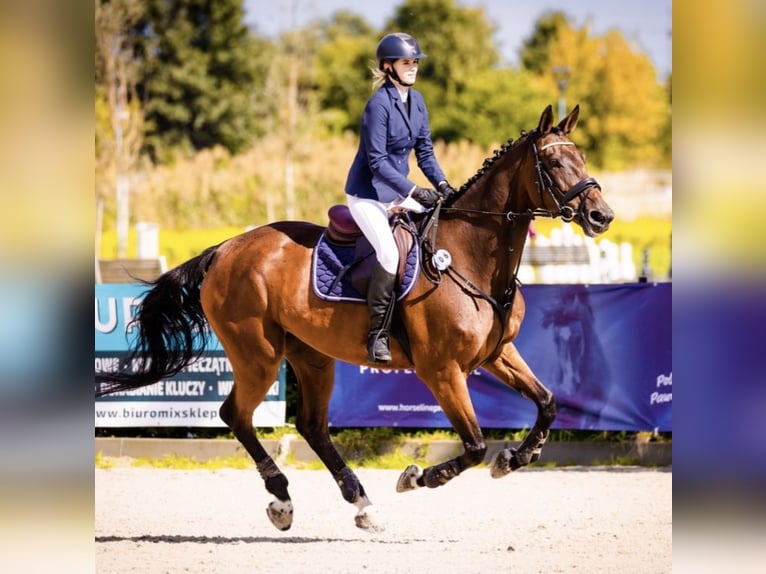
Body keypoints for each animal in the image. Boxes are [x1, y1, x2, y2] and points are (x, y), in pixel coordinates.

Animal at [96, 106, 616, 532]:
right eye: (553, 164)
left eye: (583, 157)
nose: (601, 215)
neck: (474, 258)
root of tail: (225, 249)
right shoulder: (442, 371)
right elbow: (472, 445)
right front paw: (415, 476)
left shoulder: (497, 354)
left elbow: (547, 403)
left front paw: (517, 456)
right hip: (258, 354)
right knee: (236, 416)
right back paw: (282, 500)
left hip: (310, 356)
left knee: (312, 426)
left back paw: (362, 504)